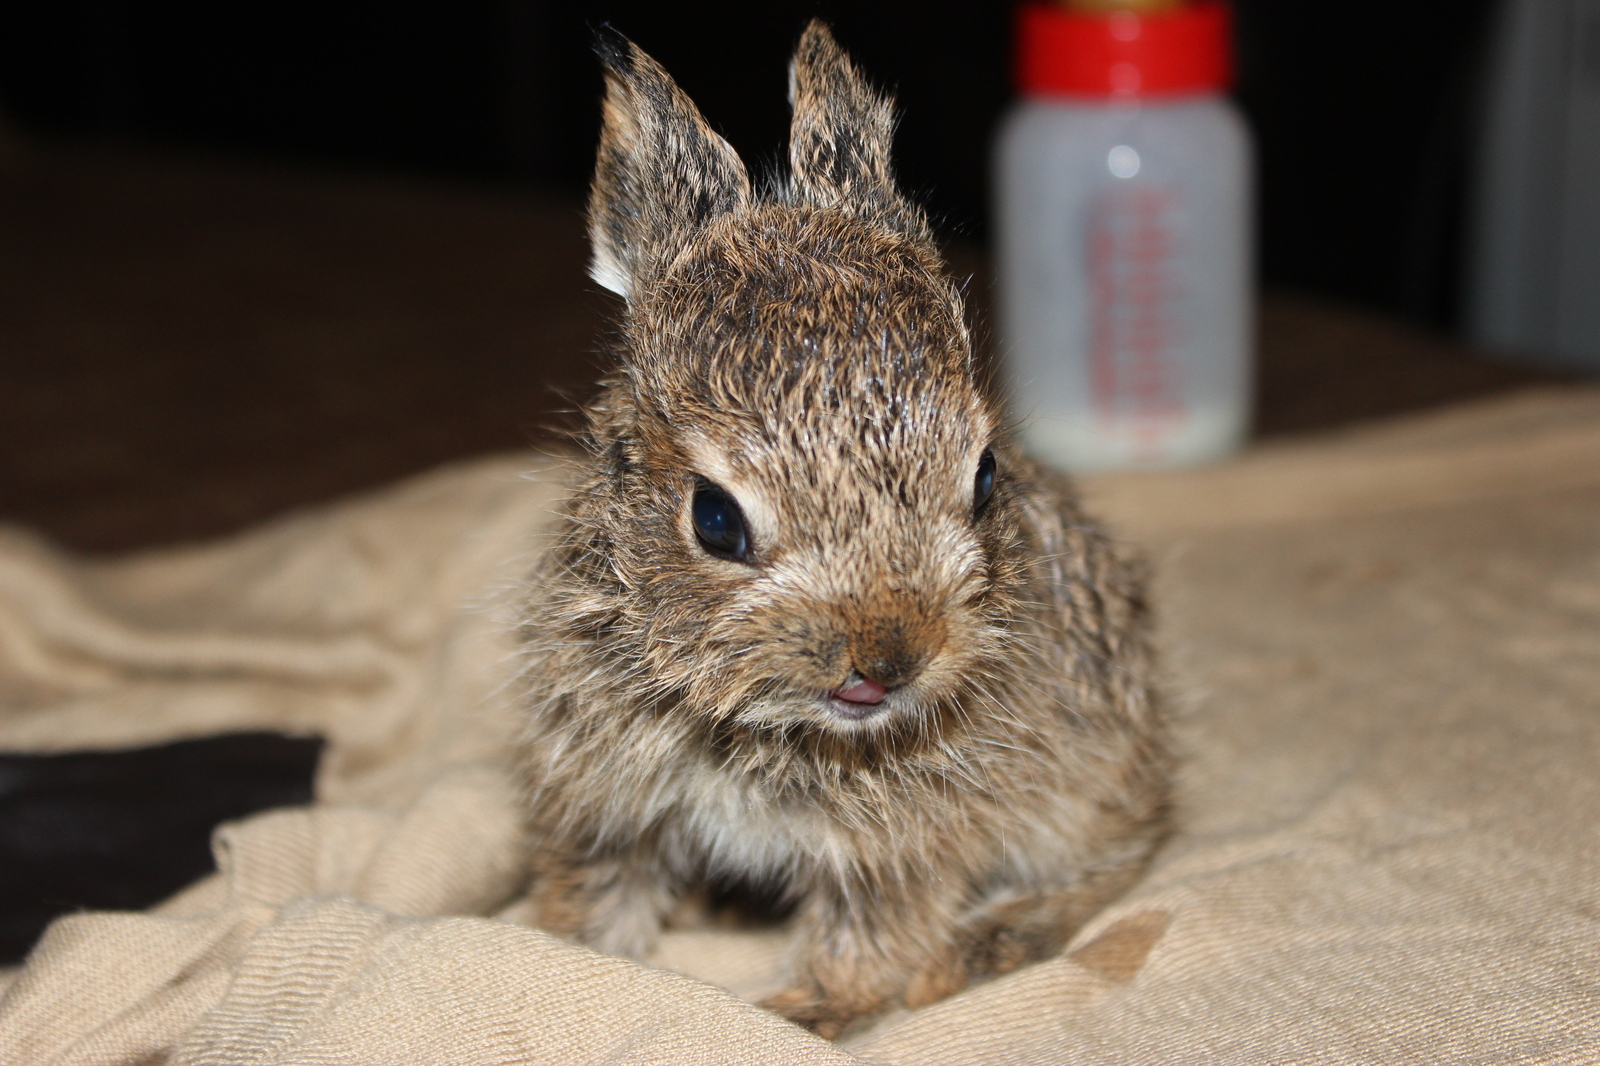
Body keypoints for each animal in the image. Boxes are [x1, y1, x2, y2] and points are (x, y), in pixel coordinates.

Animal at [521, 22, 1164, 1037]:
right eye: (714, 519)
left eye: (985, 474)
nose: (891, 654)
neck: (769, 719)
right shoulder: (608, 804)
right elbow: (600, 895)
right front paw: (572, 957)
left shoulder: (901, 847)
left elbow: (871, 934)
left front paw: (810, 1013)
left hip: (1087, 779)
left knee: (1116, 857)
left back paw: (989, 945)